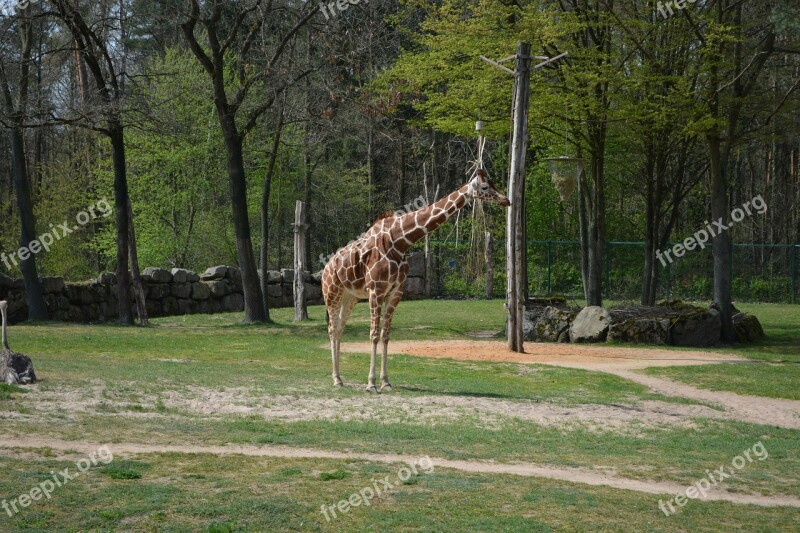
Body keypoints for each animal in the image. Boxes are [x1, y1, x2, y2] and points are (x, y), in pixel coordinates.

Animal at [322, 168, 510, 392]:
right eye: (485, 186)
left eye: (493, 183)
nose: (506, 200)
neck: (400, 241)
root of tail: (325, 268)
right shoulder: (376, 290)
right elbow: (374, 334)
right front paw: (371, 384)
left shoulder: (395, 292)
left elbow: (385, 334)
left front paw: (386, 382)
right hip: (332, 293)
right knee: (332, 329)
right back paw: (335, 379)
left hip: (349, 297)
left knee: (339, 329)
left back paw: (340, 378)